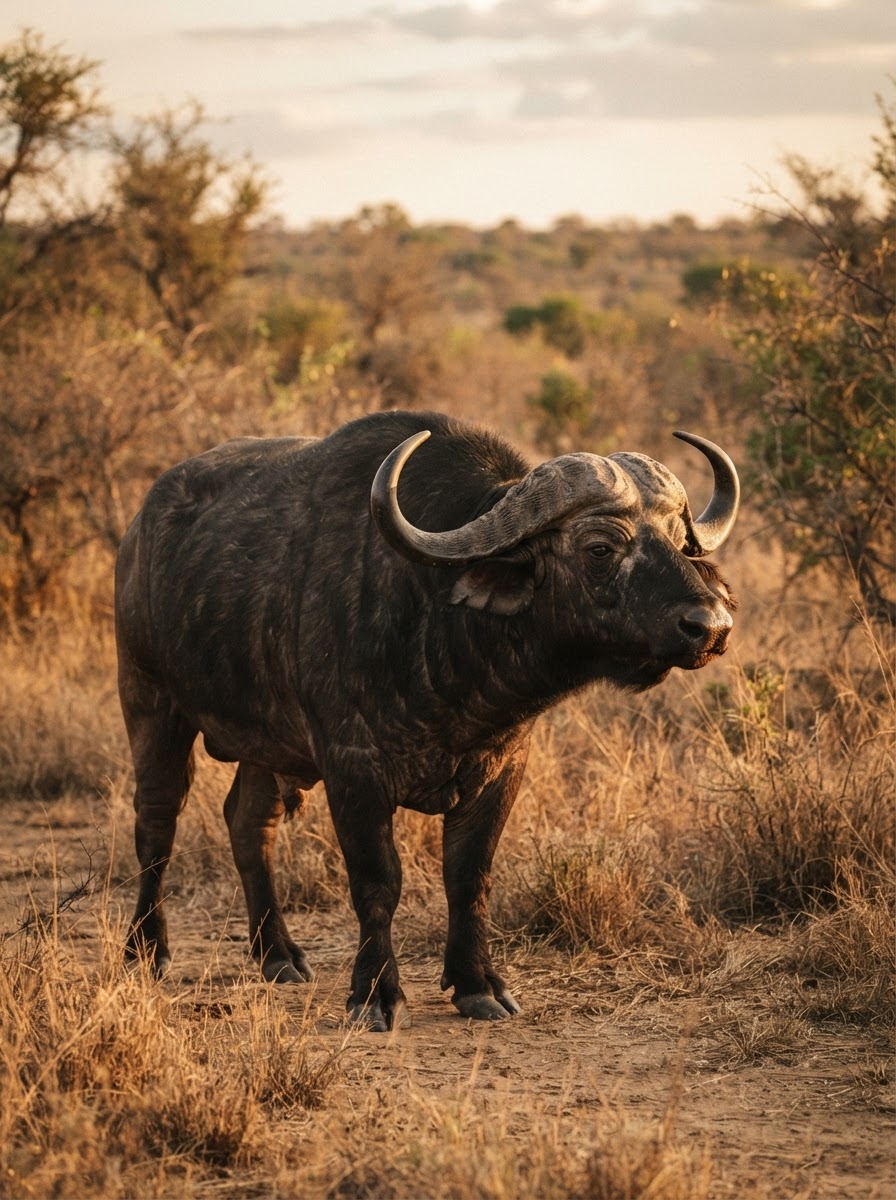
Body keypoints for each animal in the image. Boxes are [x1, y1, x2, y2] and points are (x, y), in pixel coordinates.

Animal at [115, 410, 739, 1030]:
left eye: (678, 541)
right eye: (602, 547)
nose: (709, 626)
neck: (442, 634)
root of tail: (139, 526)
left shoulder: (502, 767)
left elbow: (469, 874)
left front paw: (477, 984)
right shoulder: (353, 770)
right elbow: (377, 882)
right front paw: (375, 994)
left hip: (266, 745)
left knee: (249, 824)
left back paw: (278, 954)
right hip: (151, 706)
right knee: (156, 825)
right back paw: (147, 950)